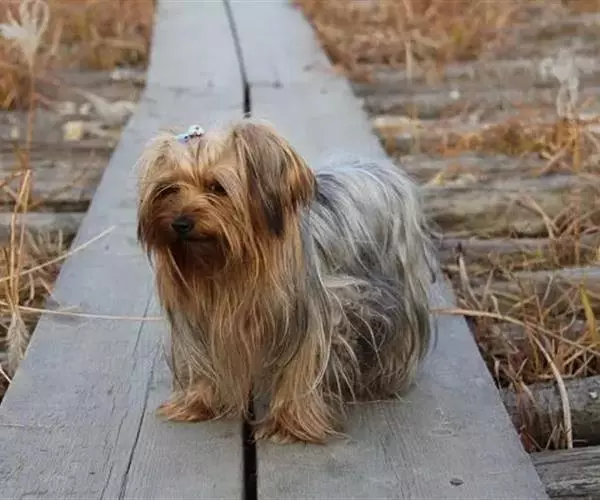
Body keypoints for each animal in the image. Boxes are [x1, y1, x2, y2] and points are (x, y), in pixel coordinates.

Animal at [135, 118, 435, 444]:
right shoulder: (202, 315)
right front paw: (198, 402)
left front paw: (290, 423)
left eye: (217, 187)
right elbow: (203, 359)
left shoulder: (312, 318)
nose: (180, 223)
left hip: (397, 286)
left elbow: (300, 366)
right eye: (168, 189)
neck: (229, 267)